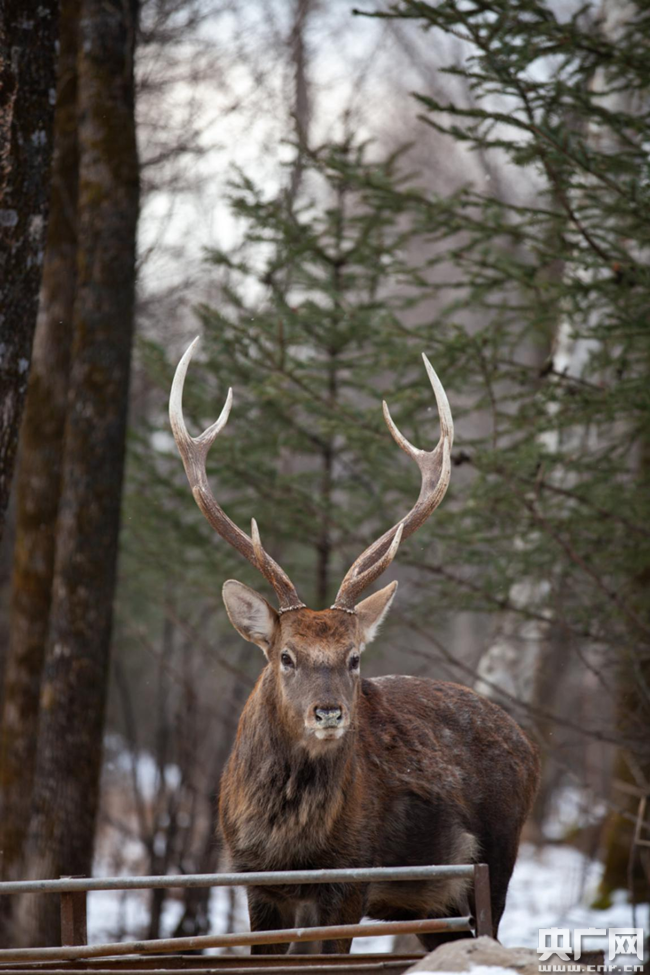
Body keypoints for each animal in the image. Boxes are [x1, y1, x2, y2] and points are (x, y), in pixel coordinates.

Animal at [167, 340, 536, 956]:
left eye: (354, 657)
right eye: (286, 656)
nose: (329, 711)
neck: (289, 847)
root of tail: (529, 747)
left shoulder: (352, 876)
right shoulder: (253, 880)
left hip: (496, 862)